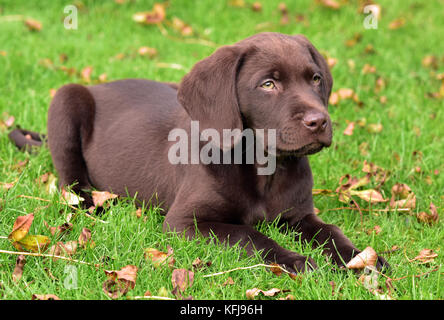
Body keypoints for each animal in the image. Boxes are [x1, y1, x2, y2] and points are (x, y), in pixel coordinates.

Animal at [46, 33, 388, 272]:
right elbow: (248, 234)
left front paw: (362, 258)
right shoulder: (184, 222)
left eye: (315, 79)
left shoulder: (299, 215)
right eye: (268, 84)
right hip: (65, 100)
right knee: (70, 180)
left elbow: (331, 231)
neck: (266, 167)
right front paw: (295, 260)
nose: (319, 121)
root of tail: (100, 85)